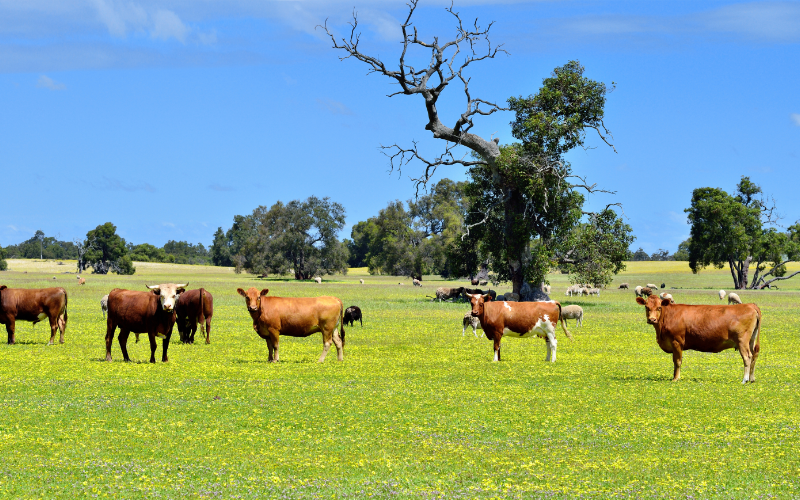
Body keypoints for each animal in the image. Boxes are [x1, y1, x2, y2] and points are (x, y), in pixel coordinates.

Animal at [636, 292, 764, 382]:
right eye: (646, 307)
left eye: (659, 307)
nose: (652, 319)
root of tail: (750, 305)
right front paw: (674, 376)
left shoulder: (676, 341)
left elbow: (677, 361)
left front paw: (676, 378)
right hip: (751, 340)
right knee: (754, 355)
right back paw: (752, 379)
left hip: (742, 340)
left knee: (747, 357)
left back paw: (745, 379)